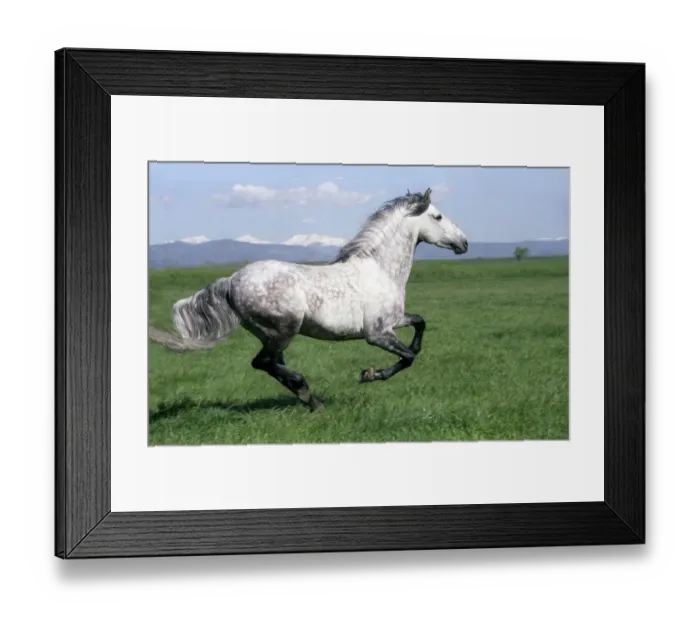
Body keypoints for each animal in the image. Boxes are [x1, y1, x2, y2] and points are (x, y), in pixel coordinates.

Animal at [148, 188, 469, 411]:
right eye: (438, 216)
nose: (464, 243)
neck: (380, 270)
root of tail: (232, 280)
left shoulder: (394, 321)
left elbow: (420, 325)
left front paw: (379, 367)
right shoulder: (377, 334)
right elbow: (408, 357)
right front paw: (369, 374)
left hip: (268, 334)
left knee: (271, 364)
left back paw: (307, 397)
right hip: (283, 330)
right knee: (261, 362)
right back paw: (308, 394)